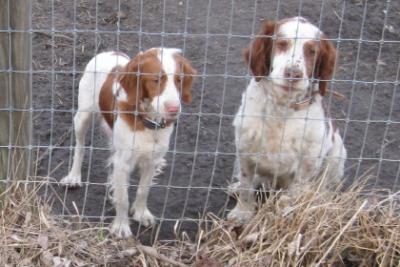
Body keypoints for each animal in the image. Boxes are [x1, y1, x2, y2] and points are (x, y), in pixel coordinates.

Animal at [60, 48, 196, 239]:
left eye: (179, 80)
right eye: (156, 80)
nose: (174, 110)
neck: (147, 121)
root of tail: (109, 51)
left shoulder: (151, 161)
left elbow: (143, 190)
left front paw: (141, 213)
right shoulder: (123, 162)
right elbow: (123, 198)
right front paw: (121, 226)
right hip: (82, 117)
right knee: (80, 148)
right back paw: (74, 176)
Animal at [228, 17, 346, 224]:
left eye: (312, 51)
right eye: (281, 44)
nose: (293, 73)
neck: (281, 108)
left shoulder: (307, 163)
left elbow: (293, 195)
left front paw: (287, 215)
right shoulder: (244, 149)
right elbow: (246, 185)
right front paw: (242, 213)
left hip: (337, 151)